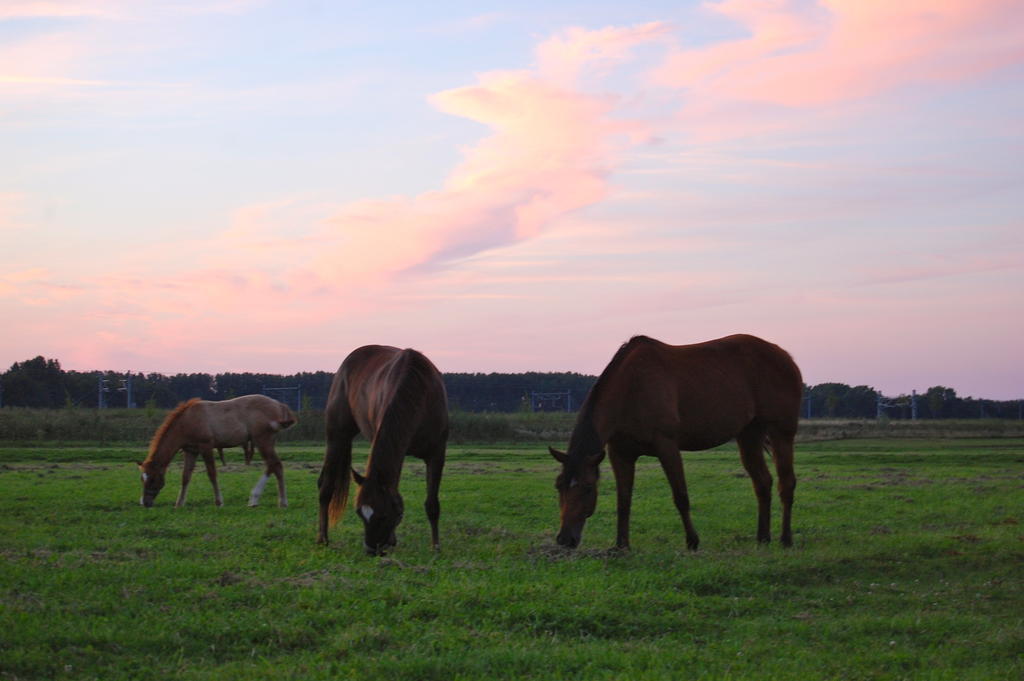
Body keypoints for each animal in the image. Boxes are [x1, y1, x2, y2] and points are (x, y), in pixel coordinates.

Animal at [315, 346, 448, 552]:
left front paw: (436, 546)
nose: (371, 550)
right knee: (326, 486)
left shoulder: (437, 453)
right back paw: (323, 538)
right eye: (360, 513)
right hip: (337, 436)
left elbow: (432, 503)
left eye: (384, 515)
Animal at [548, 335, 802, 552]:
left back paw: (786, 539)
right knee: (762, 482)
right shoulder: (620, 453)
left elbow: (680, 496)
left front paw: (692, 541)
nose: (565, 538)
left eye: (588, 488)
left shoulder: (667, 445)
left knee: (786, 483)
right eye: (559, 485)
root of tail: (786, 357)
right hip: (749, 434)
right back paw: (763, 539)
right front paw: (621, 545)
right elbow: (624, 500)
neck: (631, 388)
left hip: (781, 432)